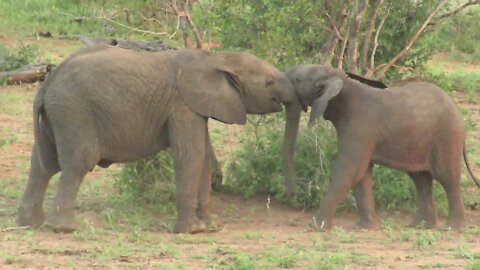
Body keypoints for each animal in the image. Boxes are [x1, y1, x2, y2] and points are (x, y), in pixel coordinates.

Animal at [282, 63, 480, 230]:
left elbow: (349, 171)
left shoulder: (360, 127)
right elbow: (361, 175)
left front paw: (316, 226)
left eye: (298, 79)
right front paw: (364, 228)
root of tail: (457, 110)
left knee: (447, 177)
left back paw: (452, 228)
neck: (340, 80)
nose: (291, 195)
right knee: (421, 179)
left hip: (447, 136)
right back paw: (420, 226)